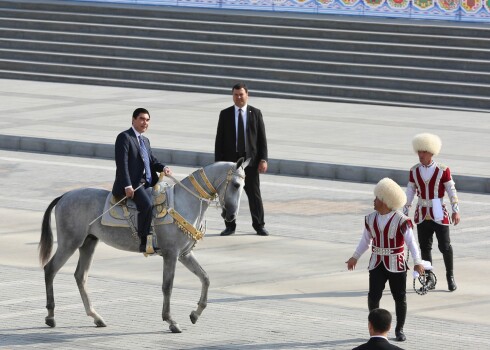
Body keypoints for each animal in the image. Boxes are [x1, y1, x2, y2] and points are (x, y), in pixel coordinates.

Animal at [38, 159, 249, 334]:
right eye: (236, 184)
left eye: (243, 186)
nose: (231, 216)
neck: (183, 203)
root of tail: (64, 195)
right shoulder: (171, 254)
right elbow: (167, 286)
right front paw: (171, 321)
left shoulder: (184, 254)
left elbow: (205, 278)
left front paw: (195, 314)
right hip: (70, 242)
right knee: (50, 269)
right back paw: (51, 316)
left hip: (89, 242)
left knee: (80, 276)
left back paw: (96, 317)